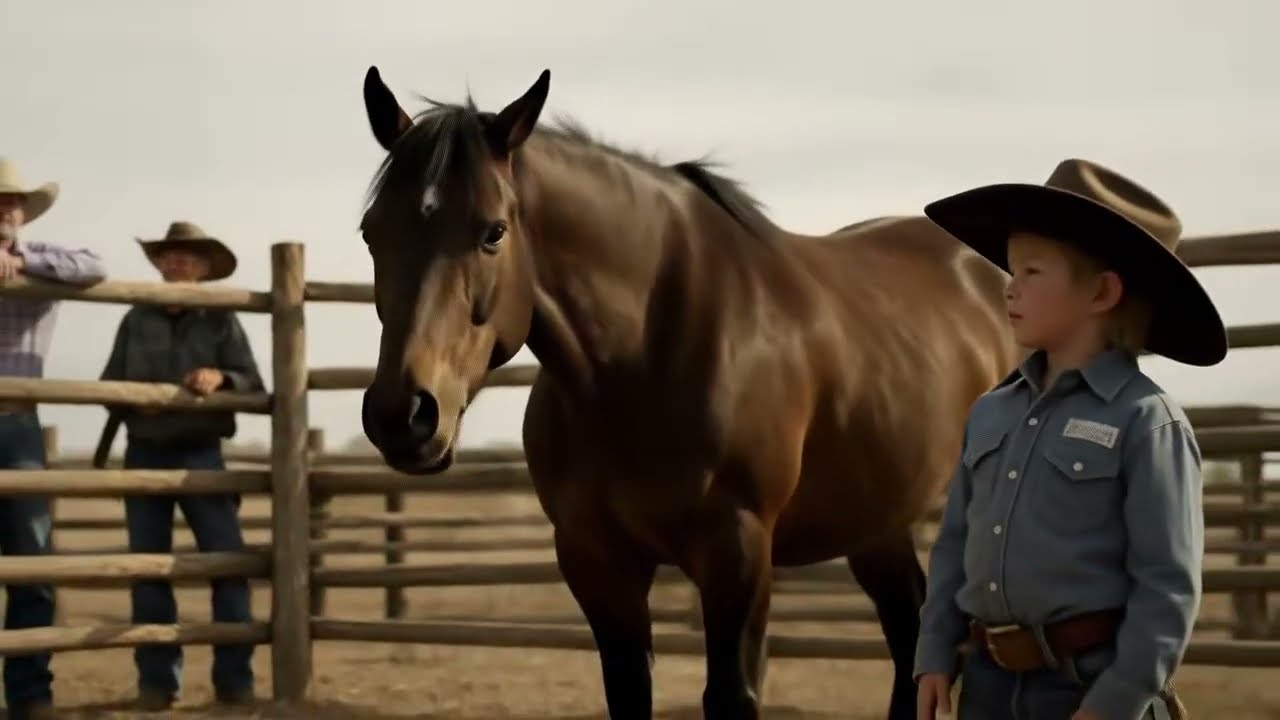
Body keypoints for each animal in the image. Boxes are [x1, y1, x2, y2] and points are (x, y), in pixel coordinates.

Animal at [355, 66, 1020, 720]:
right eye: (369, 233)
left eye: (493, 232)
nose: (403, 414)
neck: (641, 361)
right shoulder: (597, 562)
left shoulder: (737, 556)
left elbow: (730, 696)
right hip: (876, 521)